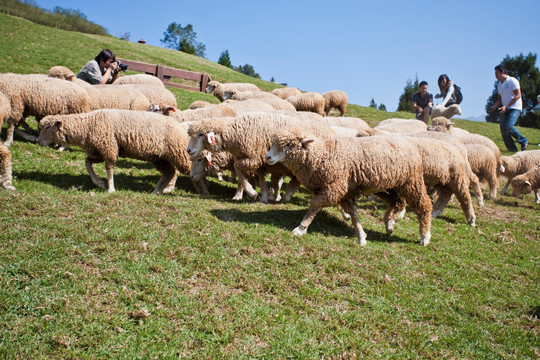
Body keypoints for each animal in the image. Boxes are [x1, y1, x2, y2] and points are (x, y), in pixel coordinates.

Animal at [35, 109, 193, 194]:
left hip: (180, 154)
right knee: (169, 172)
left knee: (184, 170)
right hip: (159, 157)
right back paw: (157, 191)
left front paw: (110, 188)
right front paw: (99, 183)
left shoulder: (109, 148)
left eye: (47, 127)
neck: (87, 126)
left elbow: (109, 169)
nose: (38, 142)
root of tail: (180, 126)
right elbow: (87, 163)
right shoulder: (98, 151)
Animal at [264, 125, 432, 246]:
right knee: (397, 201)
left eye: (287, 144)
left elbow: (314, 207)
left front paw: (300, 228)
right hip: (387, 185)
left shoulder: (334, 188)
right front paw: (361, 236)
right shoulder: (344, 192)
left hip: (412, 182)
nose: (268, 157)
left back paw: (424, 236)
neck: (320, 156)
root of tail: (409, 143)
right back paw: (389, 224)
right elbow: (353, 214)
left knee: (424, 205)